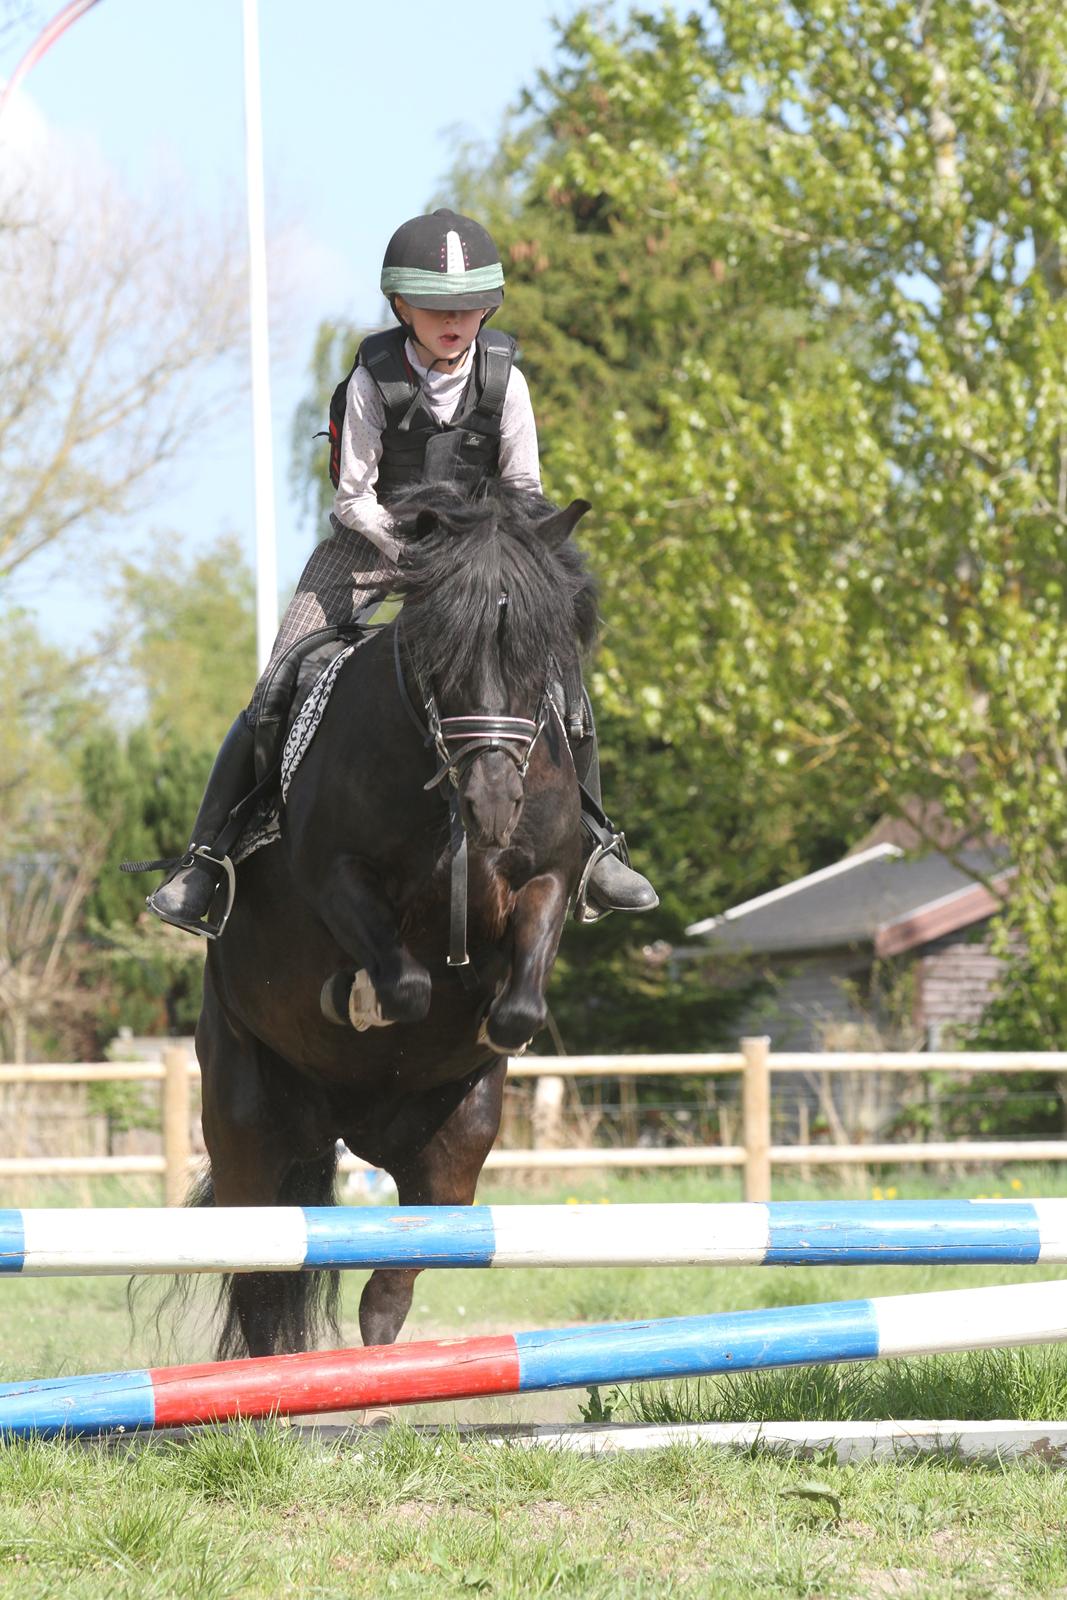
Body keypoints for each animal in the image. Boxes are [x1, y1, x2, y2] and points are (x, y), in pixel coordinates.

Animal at [194, 480, 597, 1358]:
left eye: (538, 655)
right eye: (440, 650)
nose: (492, 802)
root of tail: (346, 1130)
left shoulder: (547, 876)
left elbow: (519, 1000)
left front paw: (492, 1017)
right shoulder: (332, 876)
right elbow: (400, 979)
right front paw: (359, 999)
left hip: (452, 1146)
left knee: (399, 1271)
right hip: (247, 1126)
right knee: (260, 1284)